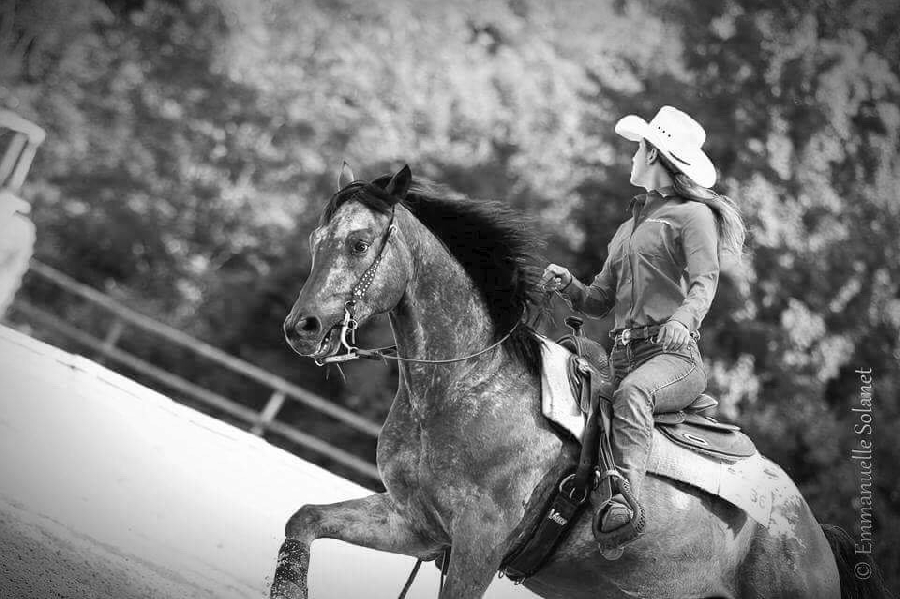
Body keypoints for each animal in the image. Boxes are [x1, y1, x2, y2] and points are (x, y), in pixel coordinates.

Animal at [272, 165, 884, 599]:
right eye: (316, 239)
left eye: (357, 243)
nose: (301, 327)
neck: (468, 386)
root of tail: (813, 535)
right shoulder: (415, 524)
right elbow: (304, 520)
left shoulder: (476, 548)